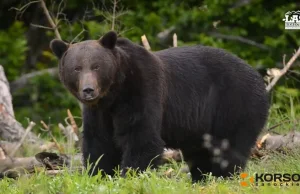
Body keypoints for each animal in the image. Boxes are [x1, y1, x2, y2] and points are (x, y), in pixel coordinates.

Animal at [49, 30, 270, 182]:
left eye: (96, 66)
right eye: (76, 68)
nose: (88, 90)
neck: (114, 93)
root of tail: (260, 79)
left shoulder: (142, 91)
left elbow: (142, 137)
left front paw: (129, 175)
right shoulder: (99, 112)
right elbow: (99, 143)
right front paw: (98, 174)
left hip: (234, 103)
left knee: (228, 146)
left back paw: (221, 177)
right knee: (200, 151)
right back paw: (201, 178)